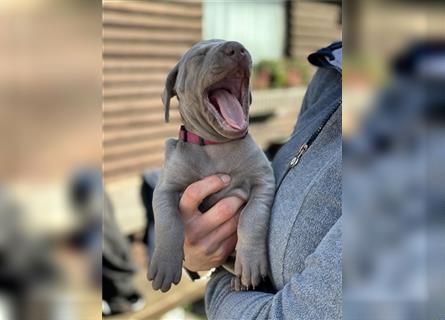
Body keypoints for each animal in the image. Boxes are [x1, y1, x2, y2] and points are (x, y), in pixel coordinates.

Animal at [148, 39, 274, 292]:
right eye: (200, 55)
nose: (237, 48)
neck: (216, 146)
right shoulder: (165, 188)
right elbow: (168, 221)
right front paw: (165, 263)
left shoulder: (264, 180)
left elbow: (252, 216)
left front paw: (251, 261)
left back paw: (240, 280)